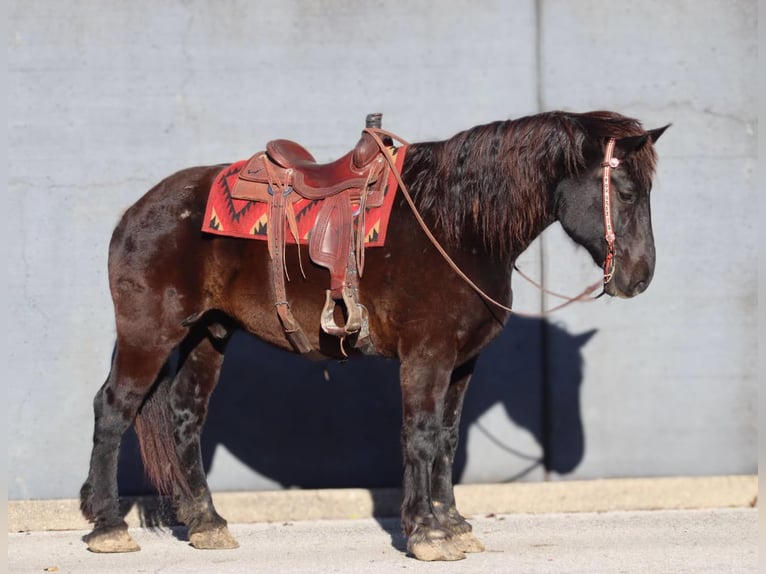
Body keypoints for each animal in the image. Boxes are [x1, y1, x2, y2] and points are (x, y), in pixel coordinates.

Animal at [80, 110, 668, 561]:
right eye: (626, 191)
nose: (639, 278)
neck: (457, 227)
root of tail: (136, 211)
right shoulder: (426, 357)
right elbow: (421, 436)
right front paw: (426, 533)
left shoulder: (461, 362)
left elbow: (447, 439)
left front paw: (452, 524)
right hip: (149, 333)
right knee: (114, 408)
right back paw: (108, 525)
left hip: (209, 334)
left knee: (185, 416)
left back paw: (206, 522)